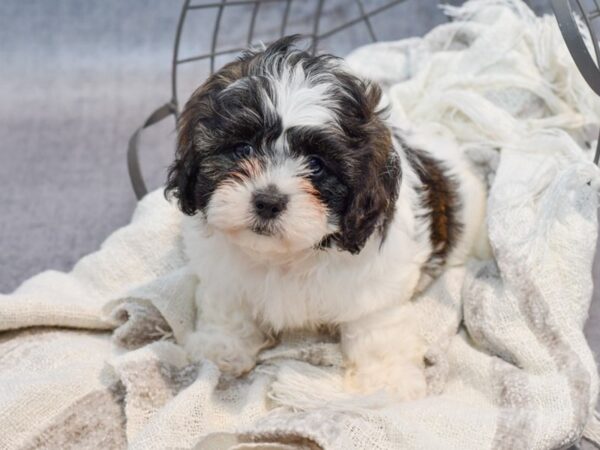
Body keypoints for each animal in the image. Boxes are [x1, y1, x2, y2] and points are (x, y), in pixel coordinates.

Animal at [165, 36, 488, 400]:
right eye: (243, 149)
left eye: (317, 165)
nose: (268, 201)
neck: (286, 256)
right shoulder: (224, 280)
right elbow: (228, 310)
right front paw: (221, 348)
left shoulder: (374, 293)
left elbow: (377, 334)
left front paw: (387, 383)